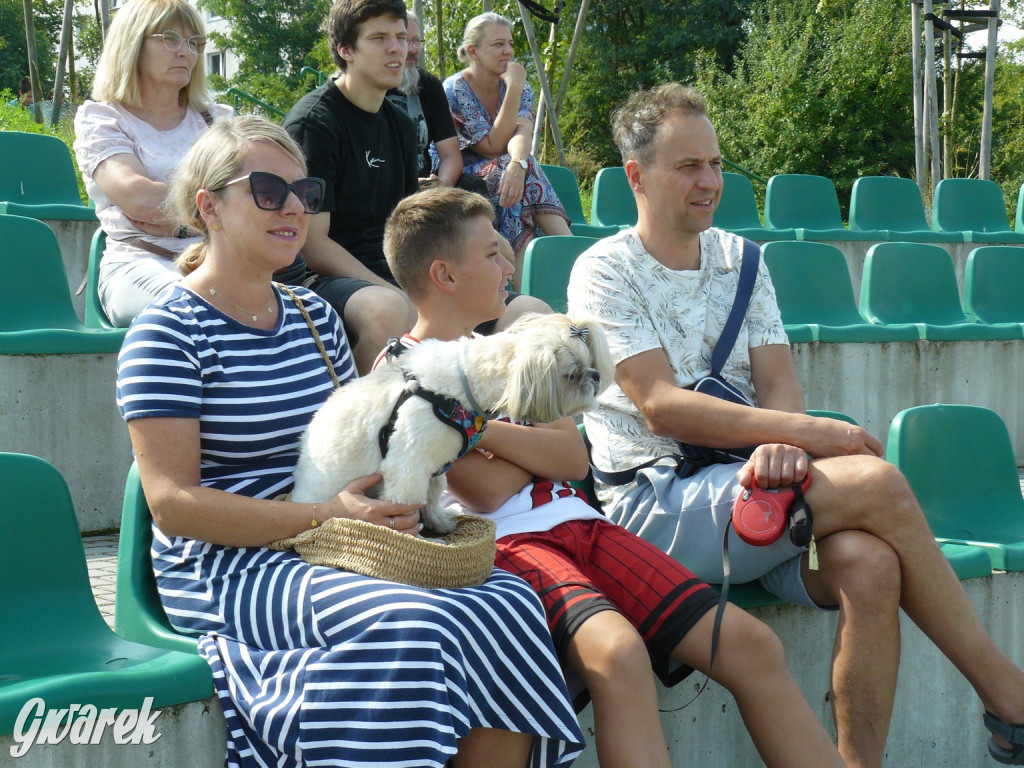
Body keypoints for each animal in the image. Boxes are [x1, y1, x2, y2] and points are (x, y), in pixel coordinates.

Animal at [290, 313, 606, 536]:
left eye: (591, 363)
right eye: (573, 374)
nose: (596, 376)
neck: (460, 387)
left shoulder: (436, 469)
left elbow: (430, 500)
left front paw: (439, 522)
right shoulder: (408, 469)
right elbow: (405, 511)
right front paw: (412, 539)